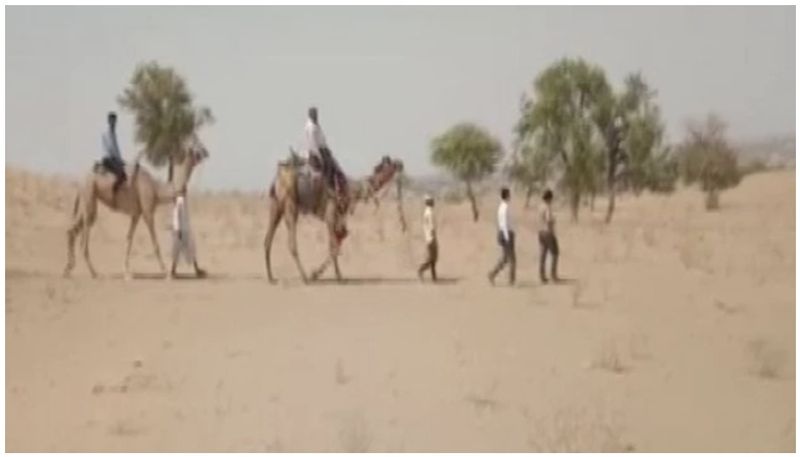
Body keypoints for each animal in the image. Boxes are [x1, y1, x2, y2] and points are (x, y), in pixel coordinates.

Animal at [63, 134, 209, 278]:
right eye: (197, 148)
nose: (206, 152)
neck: (156, 190)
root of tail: (80, 180)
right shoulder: (147, 211)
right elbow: (155, 243)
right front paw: (166, 272)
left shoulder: (136, 214)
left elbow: (129, 238)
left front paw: (127, 272)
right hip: (89, 195)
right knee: (83, 238)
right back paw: (93, 272)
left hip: (86, 200)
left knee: (72, 230)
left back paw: (68, 269)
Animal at [264, 155, 404, 282]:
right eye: (393, 164)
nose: (401, 164)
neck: (353, 189)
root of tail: (277, 180)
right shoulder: (331, 214)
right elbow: (333, 246)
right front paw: (333, 276)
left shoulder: (339, 217)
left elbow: (339, 239)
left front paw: (319, 273)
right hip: (290, 202)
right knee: (292, 243)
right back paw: (305, 277)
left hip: (275, 204)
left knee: (267, 240)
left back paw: (271, 277)